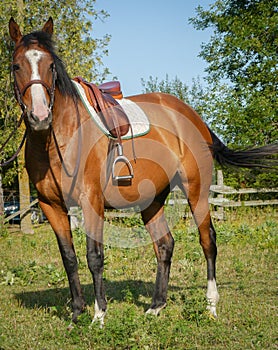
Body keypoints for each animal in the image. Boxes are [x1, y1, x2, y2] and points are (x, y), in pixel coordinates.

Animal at [7, 17, 276, 326]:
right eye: (16, 66)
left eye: (51, 65)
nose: (40, 116)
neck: (58, 137)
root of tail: (192, 115)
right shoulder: (51, 206)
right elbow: (69, 257)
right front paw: (76, 313)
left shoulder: (91, 202)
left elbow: (94, 256)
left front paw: (99, 315)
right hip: (153, 200)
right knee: (165, 245)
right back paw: (156, 306)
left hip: (196, 190)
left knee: (207, 240)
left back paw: (211, 305)